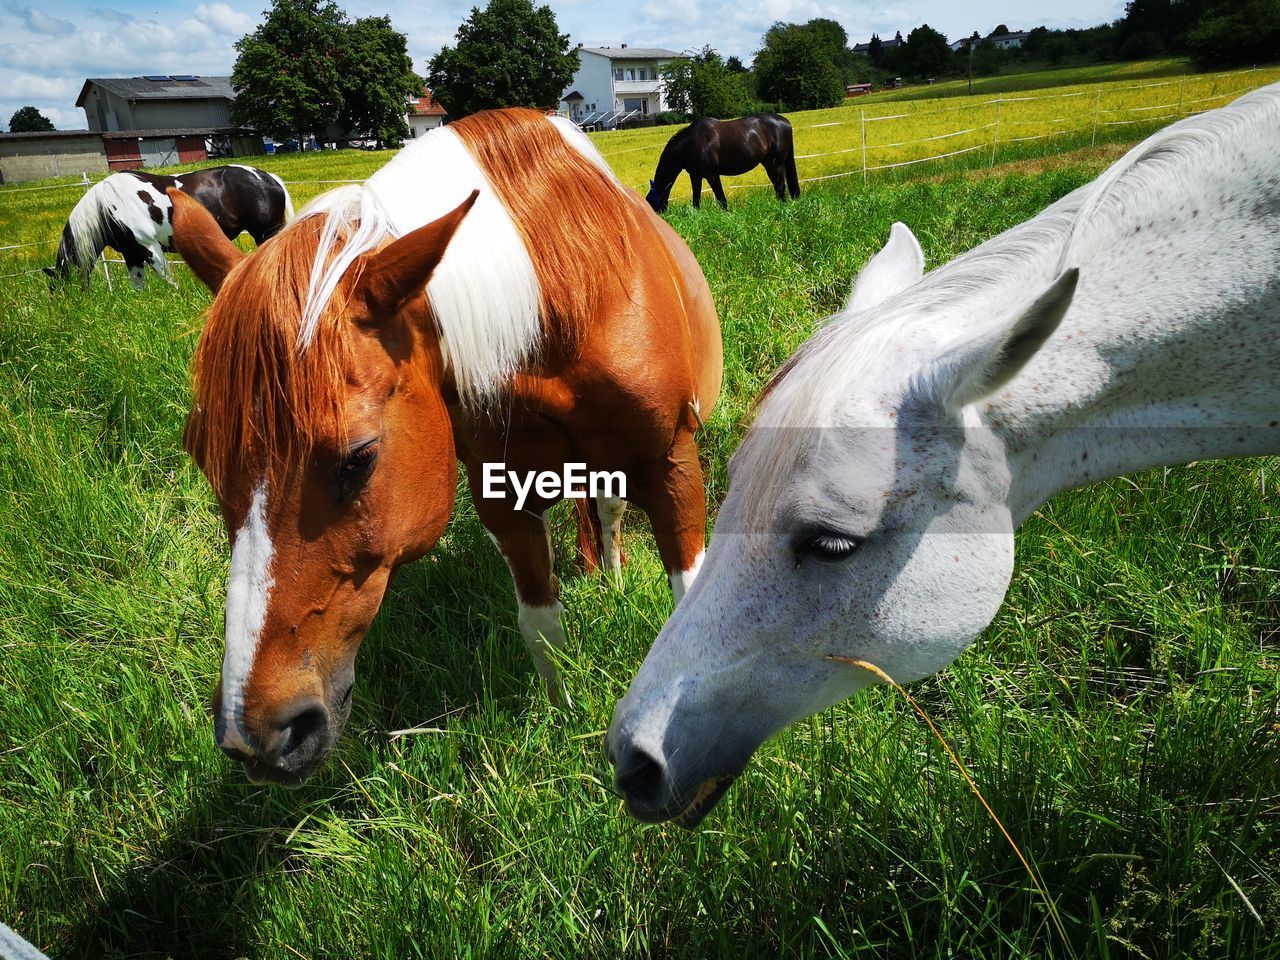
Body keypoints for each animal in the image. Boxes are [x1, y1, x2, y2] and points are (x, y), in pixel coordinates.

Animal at [46, 165, 293, 289]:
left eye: (58, 288)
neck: (106, 207)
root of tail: (269, 178)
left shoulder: (150, 248)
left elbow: (169, 280)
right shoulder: (132, 255)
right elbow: (139, 286)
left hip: (265, 233)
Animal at [167, 106, 721, 788]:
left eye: (359, 458)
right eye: (204, 459)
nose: (254, 735)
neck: (568, 295)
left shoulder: (673, 466)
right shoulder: (506, 503)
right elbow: (541, 625)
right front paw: (563, 717)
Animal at [645, 113, 793, 213]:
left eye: (651, 202)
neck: (692, 143)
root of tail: (785, 122)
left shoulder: (712, 175)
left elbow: (721, 199)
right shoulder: (695, 176)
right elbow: (696, 199)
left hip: (777, 164)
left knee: (780, 186)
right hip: (769, 164)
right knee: (777, 186)